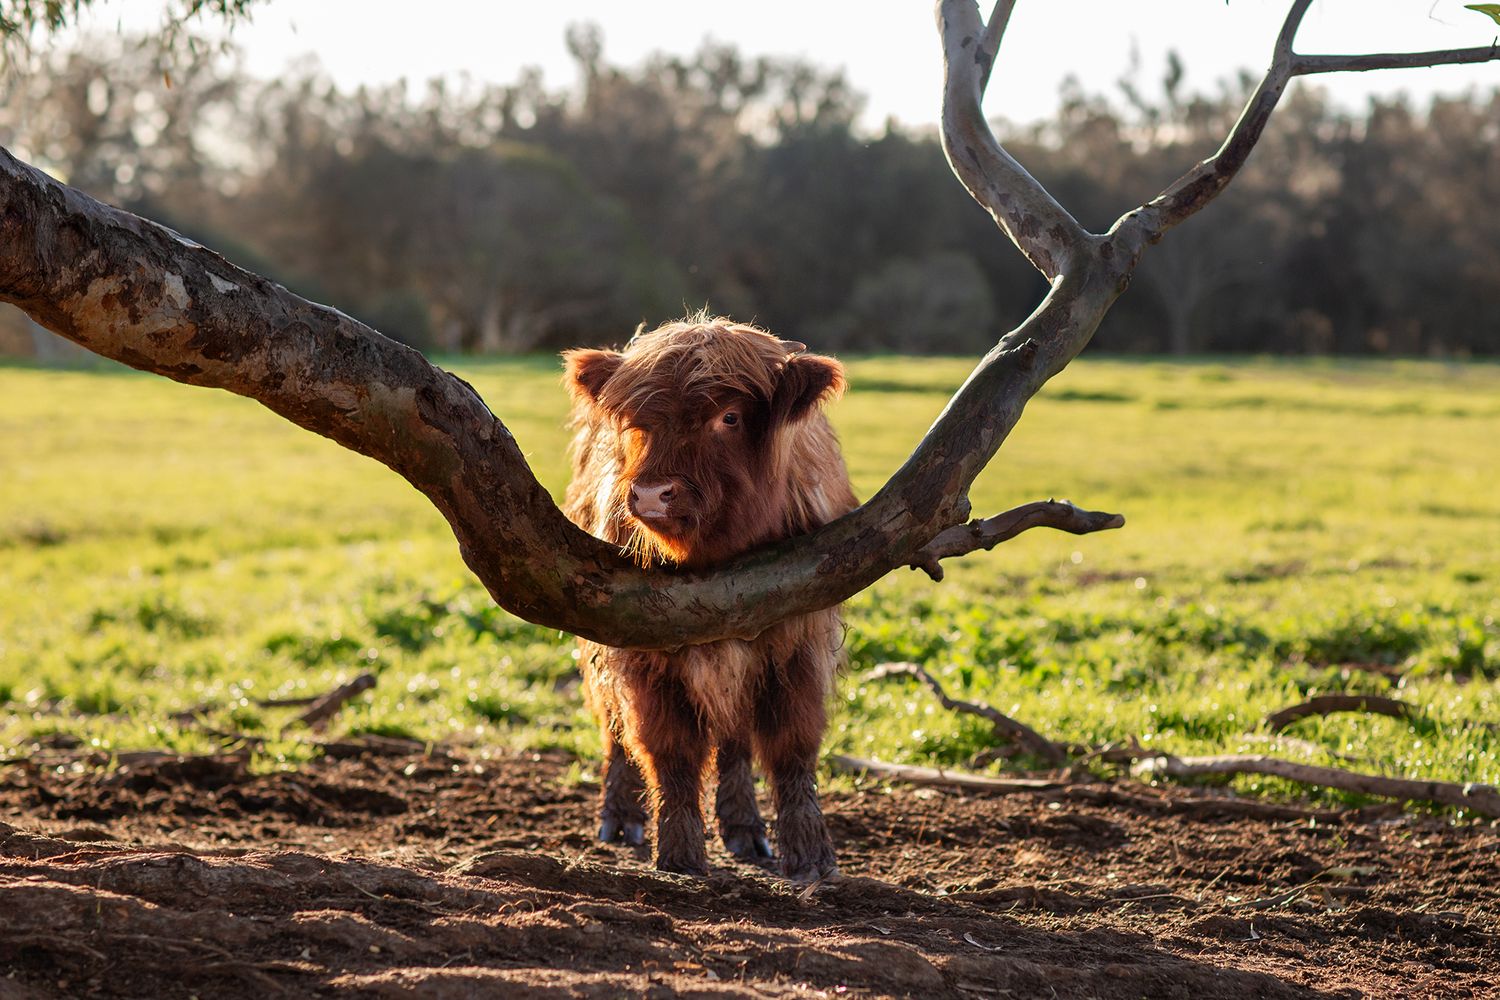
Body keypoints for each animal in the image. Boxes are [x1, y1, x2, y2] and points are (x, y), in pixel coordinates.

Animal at [561, 315, 857, 880]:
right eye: (636, 422)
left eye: (730, 416)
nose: (651, 494)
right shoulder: (642, 653)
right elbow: (670, 754)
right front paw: (679, 855)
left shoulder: (798, 643)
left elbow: (792, 748)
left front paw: (811, 855)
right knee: (616, 731)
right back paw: (620, 817)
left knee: (735, 738)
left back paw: (744, 826)